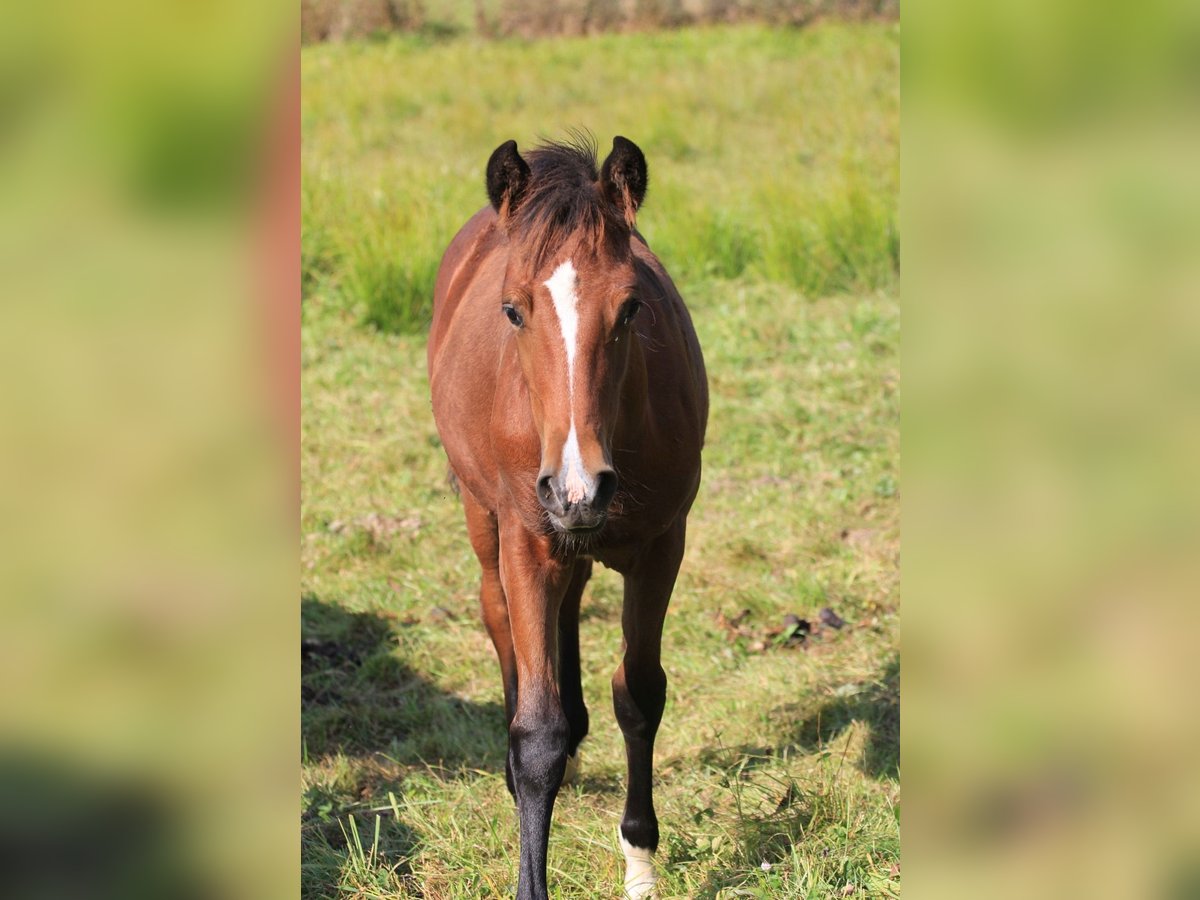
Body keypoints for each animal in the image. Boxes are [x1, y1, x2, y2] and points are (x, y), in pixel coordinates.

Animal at [427, 135, 705, 900]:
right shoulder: (528, 540)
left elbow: (639, 694)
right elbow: (538, 733)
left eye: (632, 308)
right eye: (512, 310)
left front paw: (640, 860)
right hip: (488, 518)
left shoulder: (661, 545)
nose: (577, 488)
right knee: (498, 615)